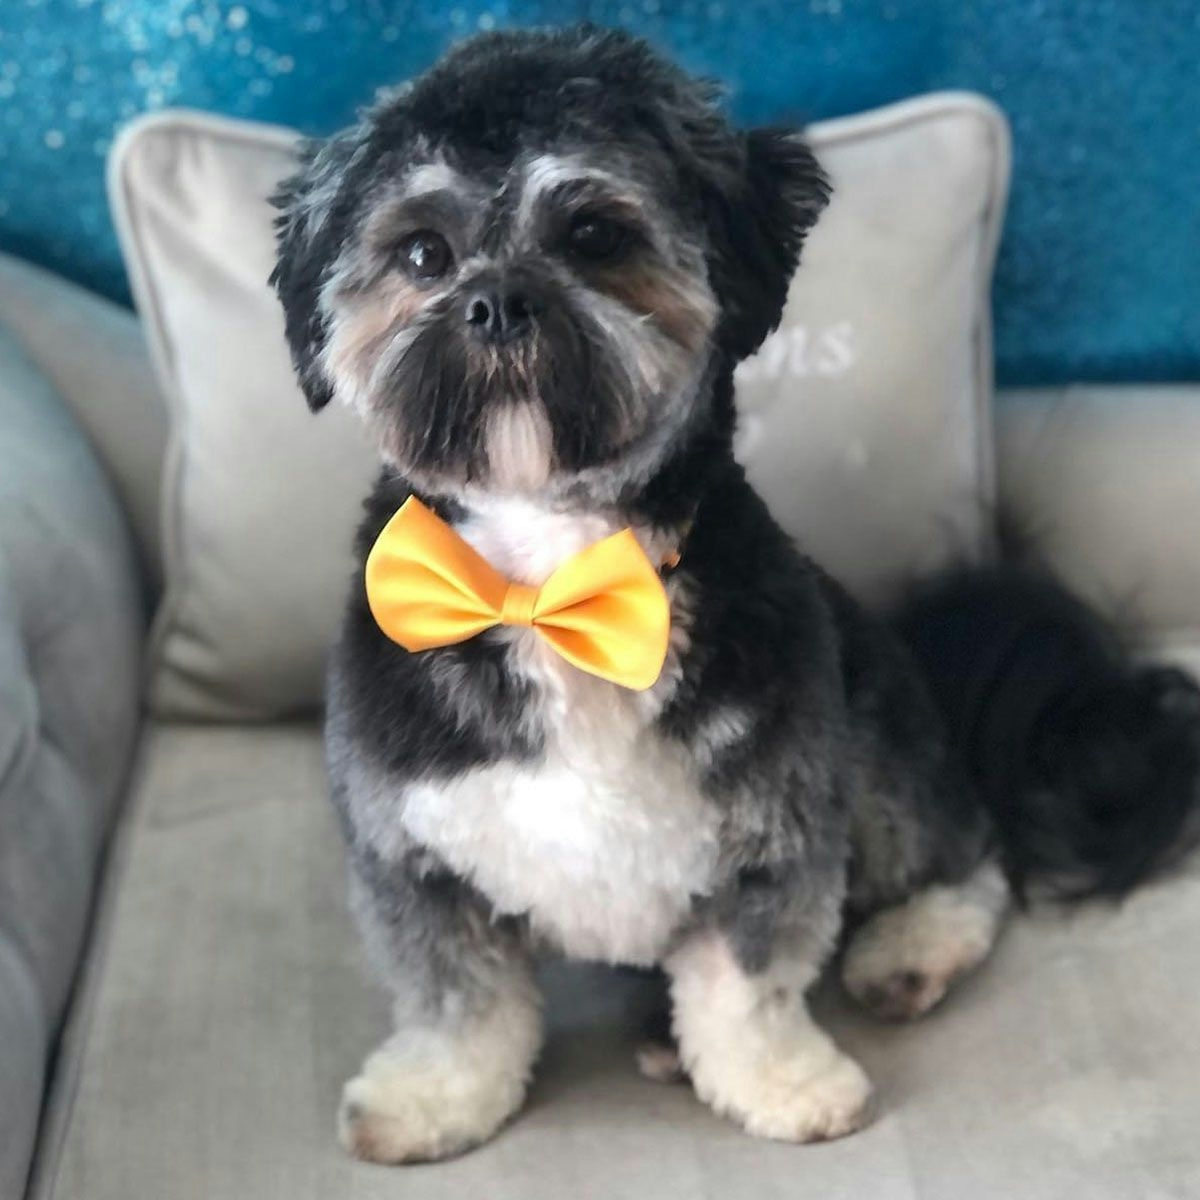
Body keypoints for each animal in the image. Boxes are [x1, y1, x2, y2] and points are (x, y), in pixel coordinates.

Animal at [267, 25, 1195, 1161]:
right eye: (421, 254)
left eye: (593, 233)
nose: (498, 303)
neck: (557, 581)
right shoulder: (411, 851)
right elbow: (457, 998)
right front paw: (433, 1097)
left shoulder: (779, 828)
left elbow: (746, 989)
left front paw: (785, 1085)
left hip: (872, 745)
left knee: (971, 856)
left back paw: (910, 949)